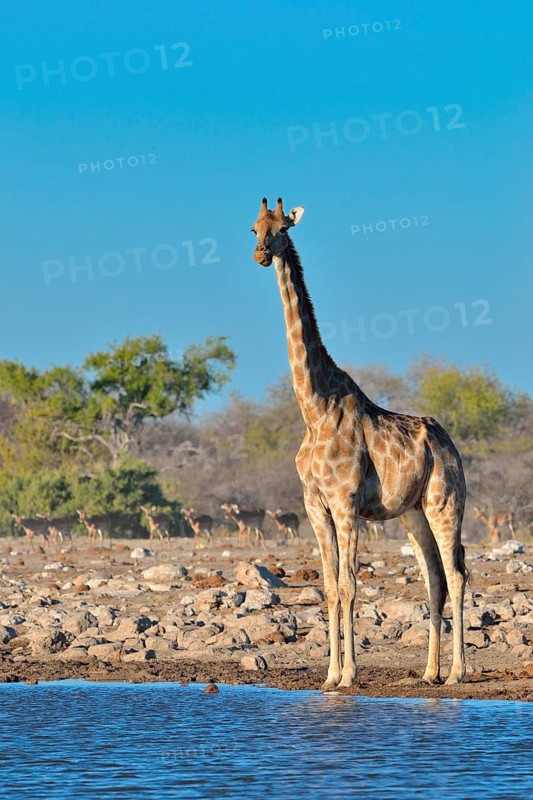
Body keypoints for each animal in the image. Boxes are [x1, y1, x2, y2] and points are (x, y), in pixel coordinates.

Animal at [250, 197, 468, 688]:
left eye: (283, 227)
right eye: (253, 227)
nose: (261, 255)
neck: (314, 408)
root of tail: (451, 448)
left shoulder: (345, 502)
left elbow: (350, 584)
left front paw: (349, 674)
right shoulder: (315, 504)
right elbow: (331, 586)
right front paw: (330, 675)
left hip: (445, 503)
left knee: (457, 572)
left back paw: (456, 674)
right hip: (413, 513)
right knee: (434, 578)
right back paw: (428, 673)